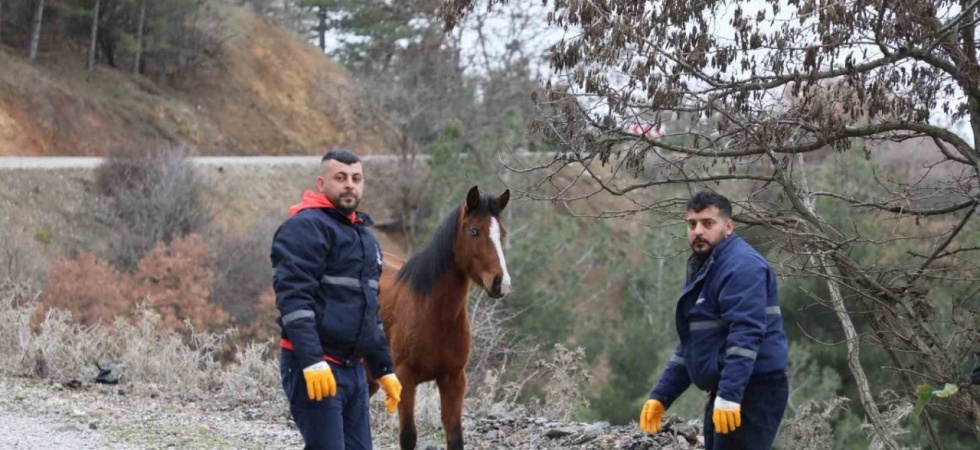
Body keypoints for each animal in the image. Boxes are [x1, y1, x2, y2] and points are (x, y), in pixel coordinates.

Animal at [368, 185, 512, 450]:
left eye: (502, 233)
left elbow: (455, 437)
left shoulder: (453, 380)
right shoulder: (405, 378)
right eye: (474, 231)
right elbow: (408, 436)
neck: (434, 314)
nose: (501, 283)